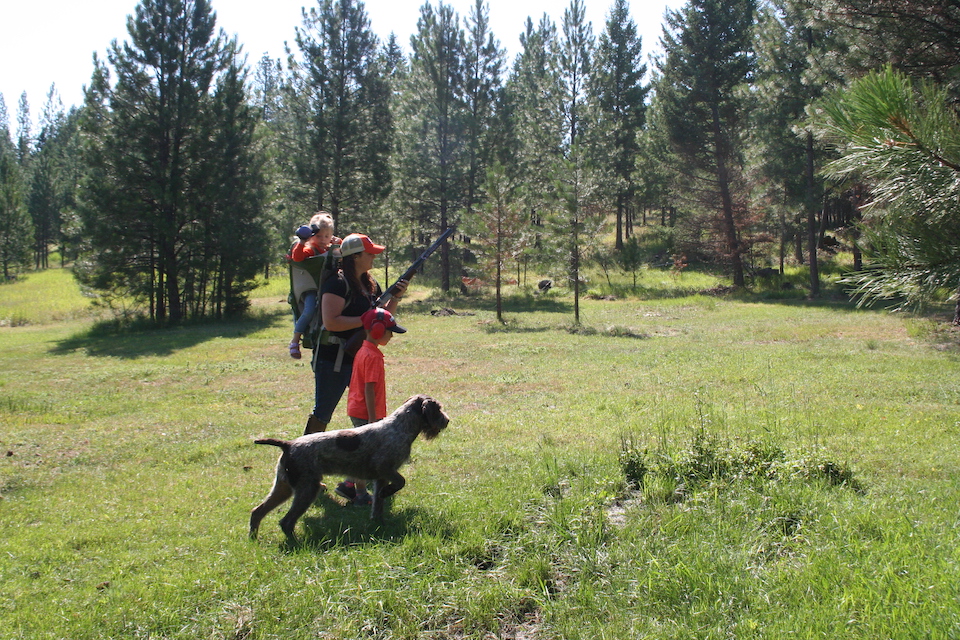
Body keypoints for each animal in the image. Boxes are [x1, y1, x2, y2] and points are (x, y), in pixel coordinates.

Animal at [249, 396, 448, 540]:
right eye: (438, 408)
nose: (447, 420)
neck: (401, 426)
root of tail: (288, 445)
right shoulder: (384, 468)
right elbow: (401, 482)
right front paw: (387, 494)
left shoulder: (381, 477)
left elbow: (378, 504)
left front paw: (378, 522)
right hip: (307, 489)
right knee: (286, 521)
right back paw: (297, 543)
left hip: (283, 488)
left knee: (257, 511)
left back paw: (253, 538)